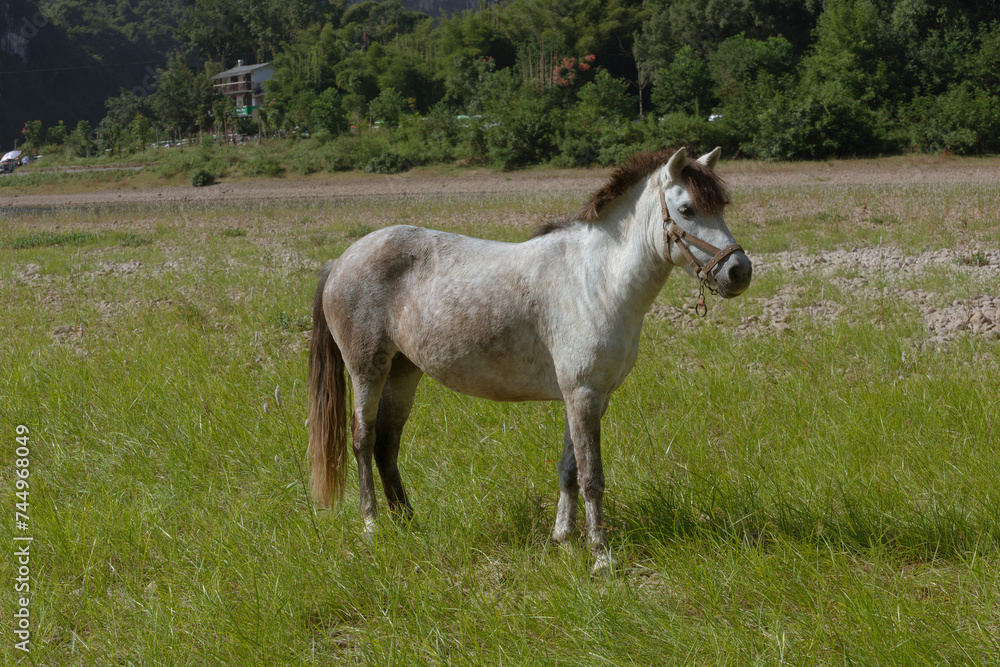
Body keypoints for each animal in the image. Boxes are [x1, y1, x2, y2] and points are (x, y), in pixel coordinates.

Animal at [307, 147, 752, 571]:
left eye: (722, 205)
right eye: (687, 209)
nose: (739, 271)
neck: (596, 281)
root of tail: (340, 261)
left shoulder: (590, 396)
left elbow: (569, 469)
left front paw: (564, 539)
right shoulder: (583, 394)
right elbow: (592, 477)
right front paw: (601, 556)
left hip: (404, 372)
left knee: (387, 443)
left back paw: (408, 520)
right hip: (368, 370)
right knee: (363, 440)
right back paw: (372, 524)